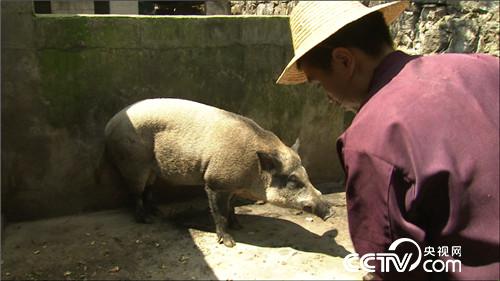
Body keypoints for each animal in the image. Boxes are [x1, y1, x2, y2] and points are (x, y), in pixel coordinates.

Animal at [103, 97, 334, 246]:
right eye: (293, 181)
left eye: (306, 174)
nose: (330, 211)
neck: (251, 171)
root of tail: (110, 124)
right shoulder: (215, 182)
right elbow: (220, 213)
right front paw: (230, 242)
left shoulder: (232, 186)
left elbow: (231, 207)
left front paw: (239, 226)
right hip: (133, 162)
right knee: (135, 192)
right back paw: (146, 220)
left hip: (150, 167)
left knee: (148, 189)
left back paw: (157, 213)